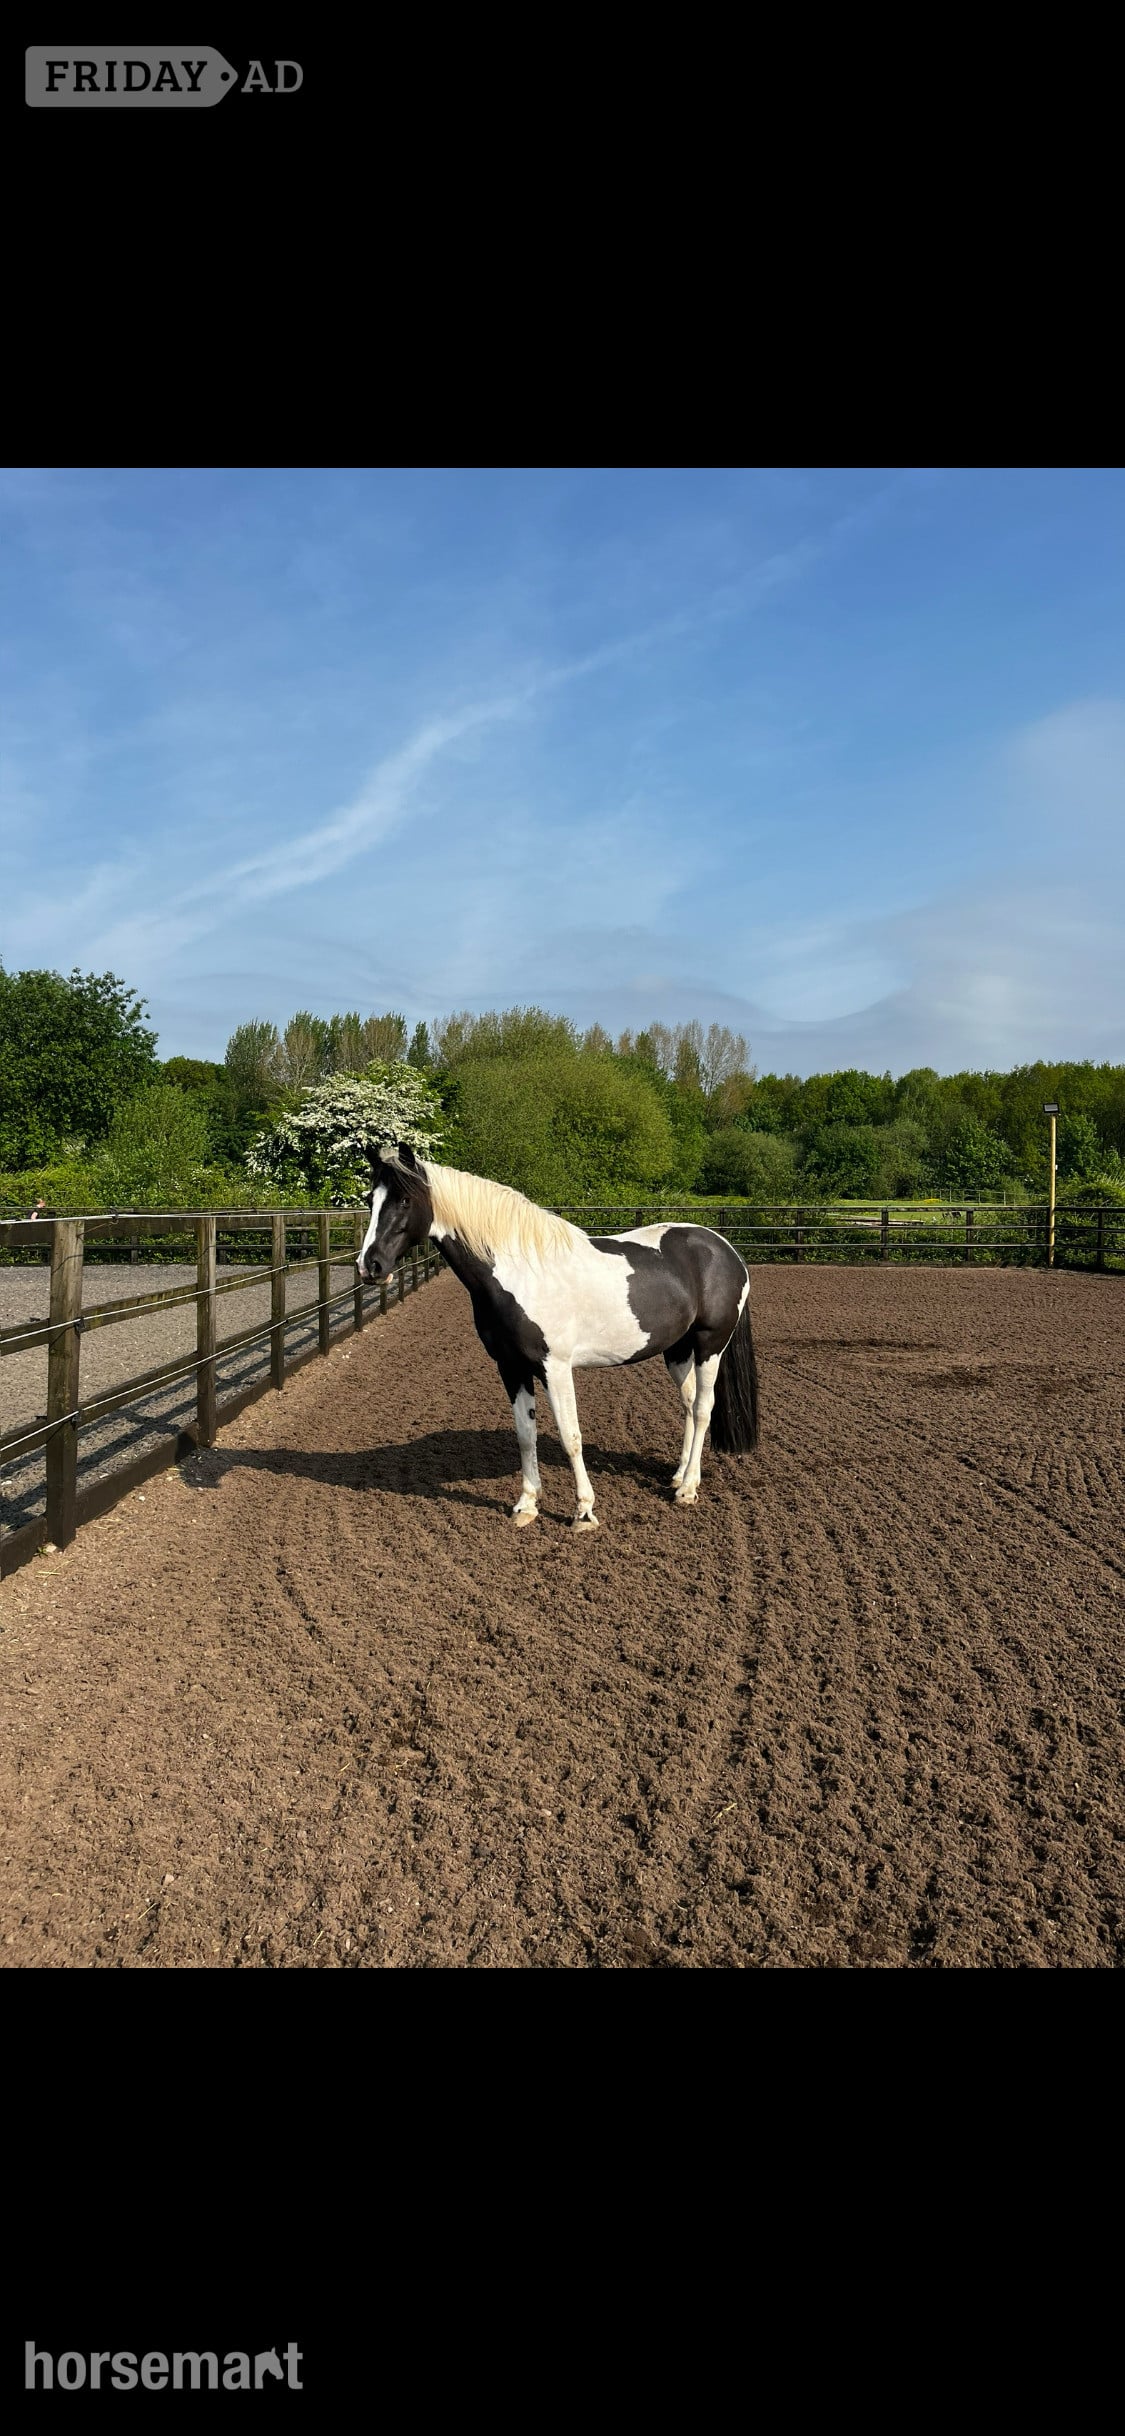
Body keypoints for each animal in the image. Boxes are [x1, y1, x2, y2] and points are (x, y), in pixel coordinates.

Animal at [356, 1144, 759, 1532]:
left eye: (404, 1200)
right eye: (371, 1198)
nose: (369, 1266)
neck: (520, 1273)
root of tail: (725, 1249)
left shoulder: (556, 1367)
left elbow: (571, 1437)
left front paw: (584, 1512)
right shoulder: (511, 1367)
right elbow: (525, 1434)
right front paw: (526, 1506)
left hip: (710, 1345)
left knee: (704, 1408)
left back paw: (688, 1489)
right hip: (677, 1350)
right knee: (689, 1404)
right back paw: (678, 1476)